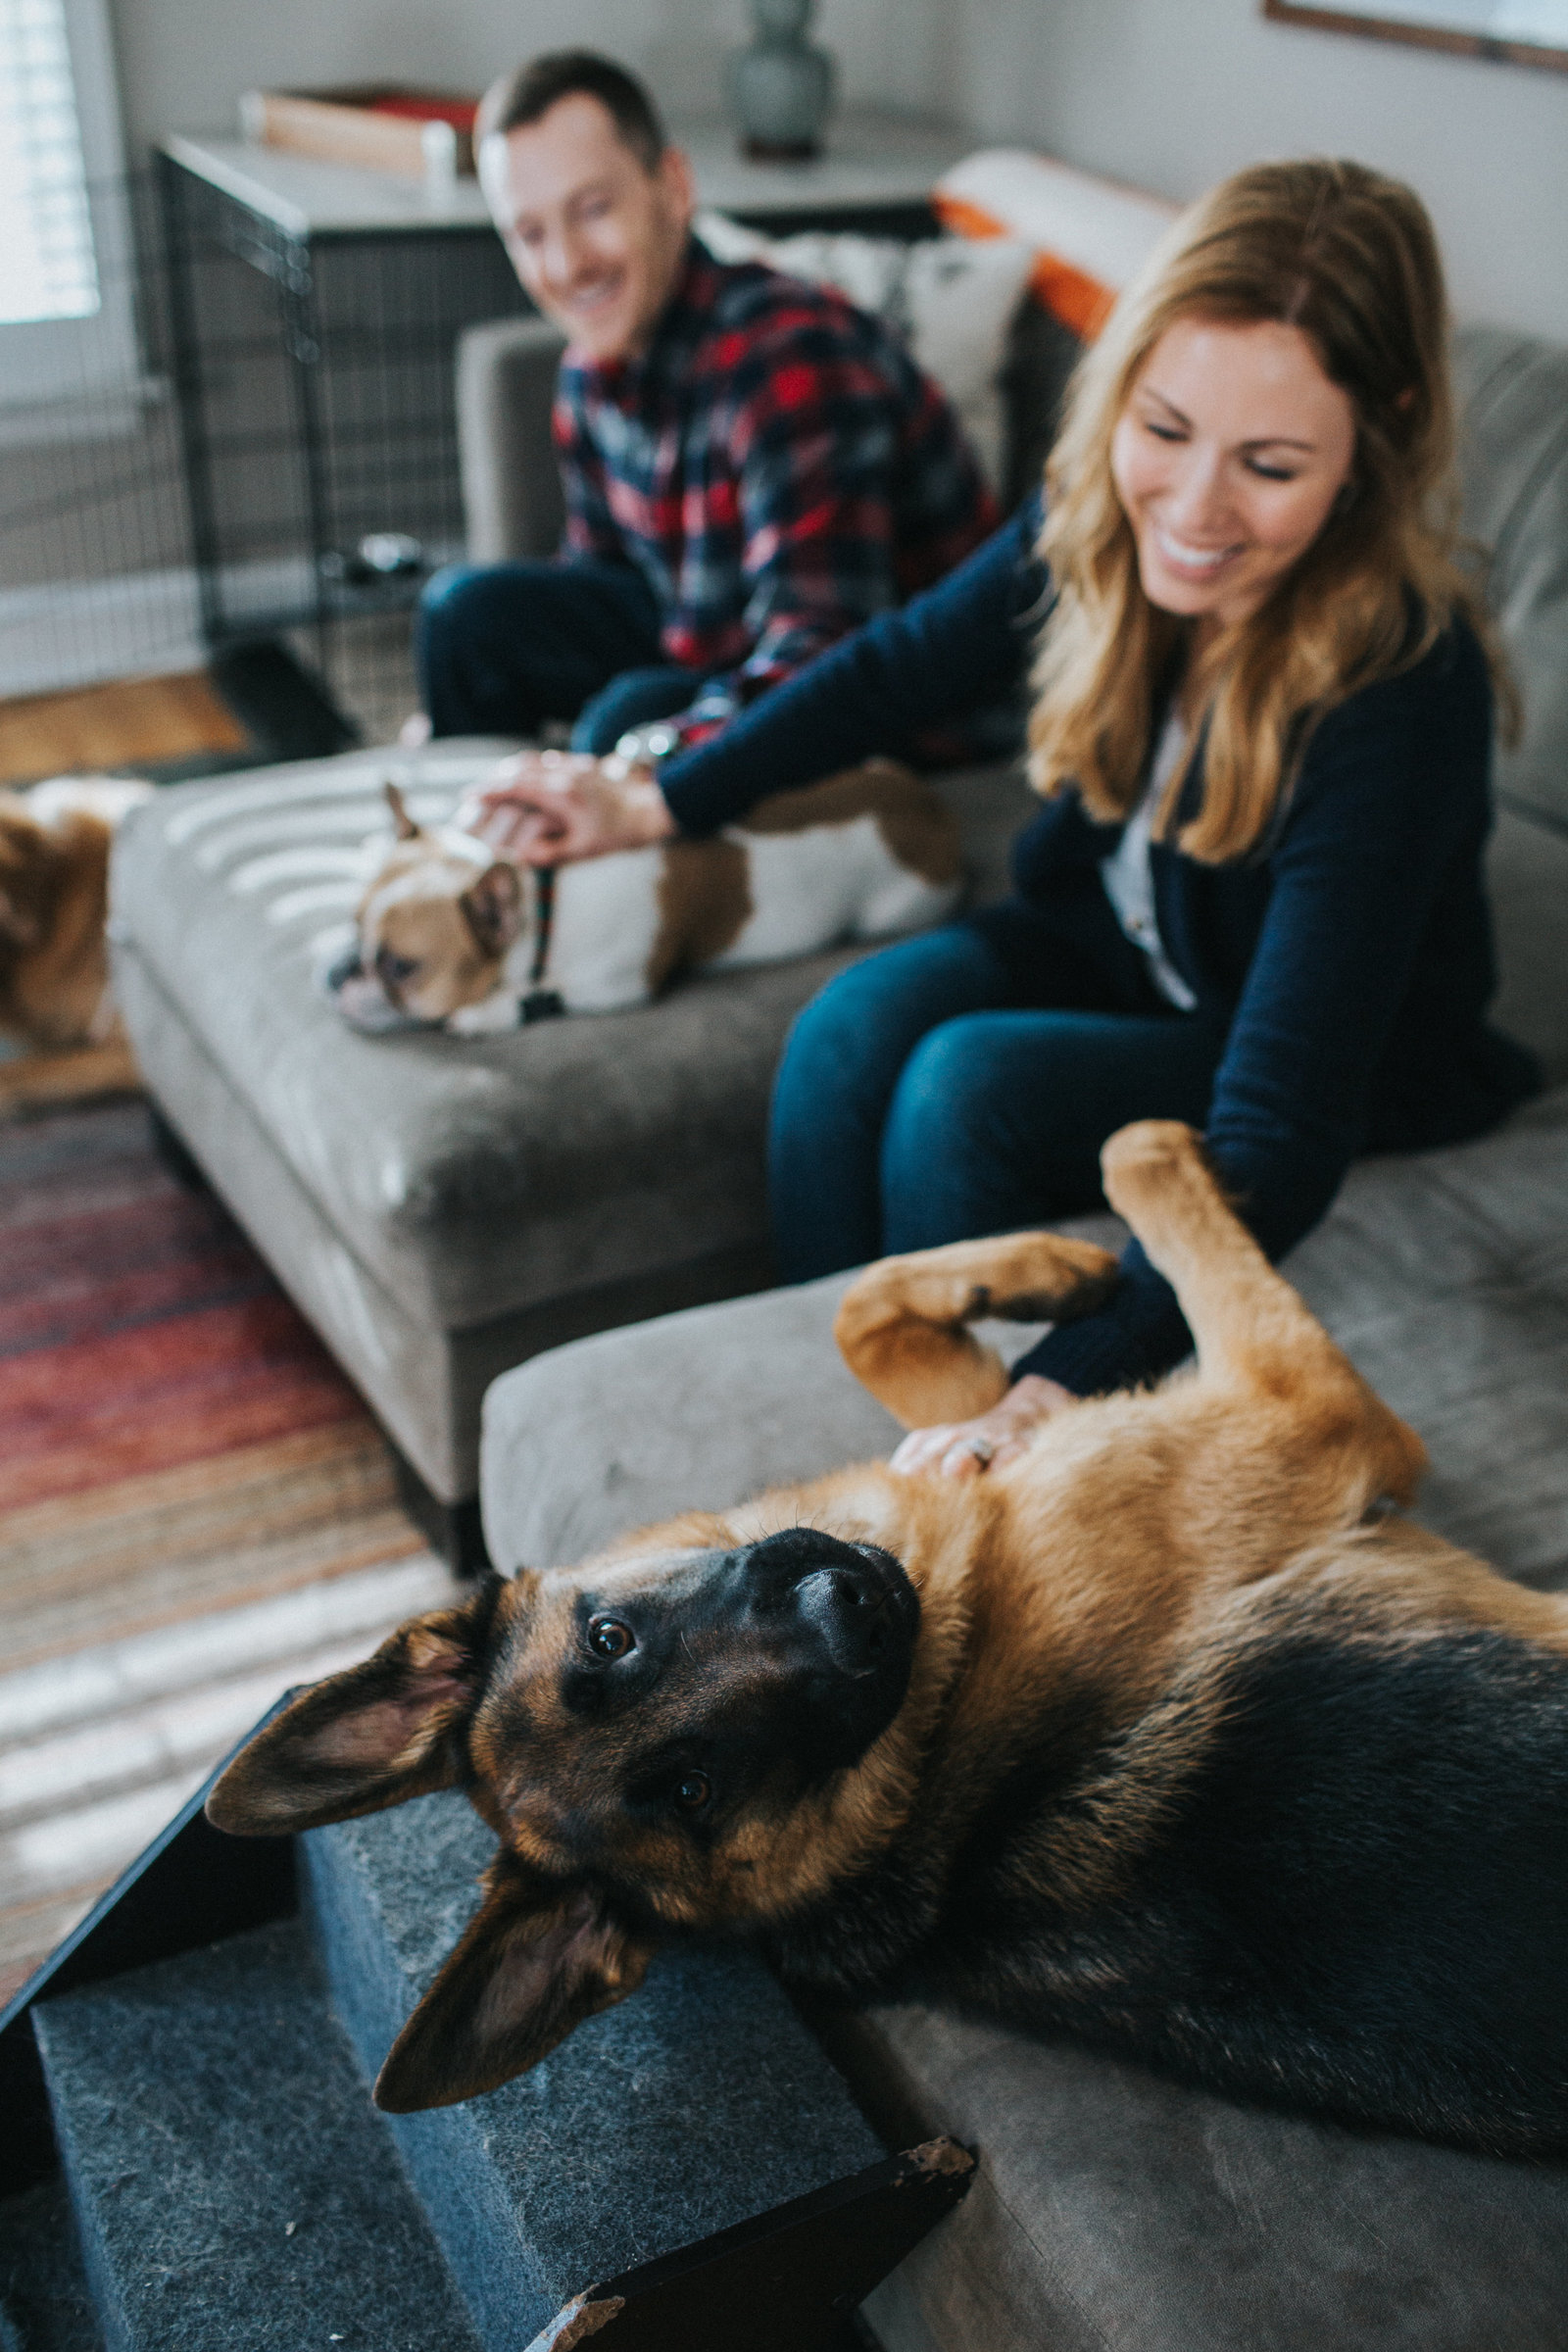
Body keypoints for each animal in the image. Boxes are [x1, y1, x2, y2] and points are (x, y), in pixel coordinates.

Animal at [208, 1129, 1568, 2154]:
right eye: (695, 1791)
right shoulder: (1305, 1412)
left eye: (612, 1636)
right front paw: (1155, 1157)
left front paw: (1049, 1269)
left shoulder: (985, 1450)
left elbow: (870, 1323)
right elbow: (1143, 1174)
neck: (930, 1742)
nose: (851, 1608)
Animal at [324, 766, 963, 1035]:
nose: (337, 972)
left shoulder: (614, 986)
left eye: (400, 967)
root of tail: (931, 807)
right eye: (351, 928)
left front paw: (483, 1014)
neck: (542, 904)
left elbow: (542, 999)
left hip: (894, 909)